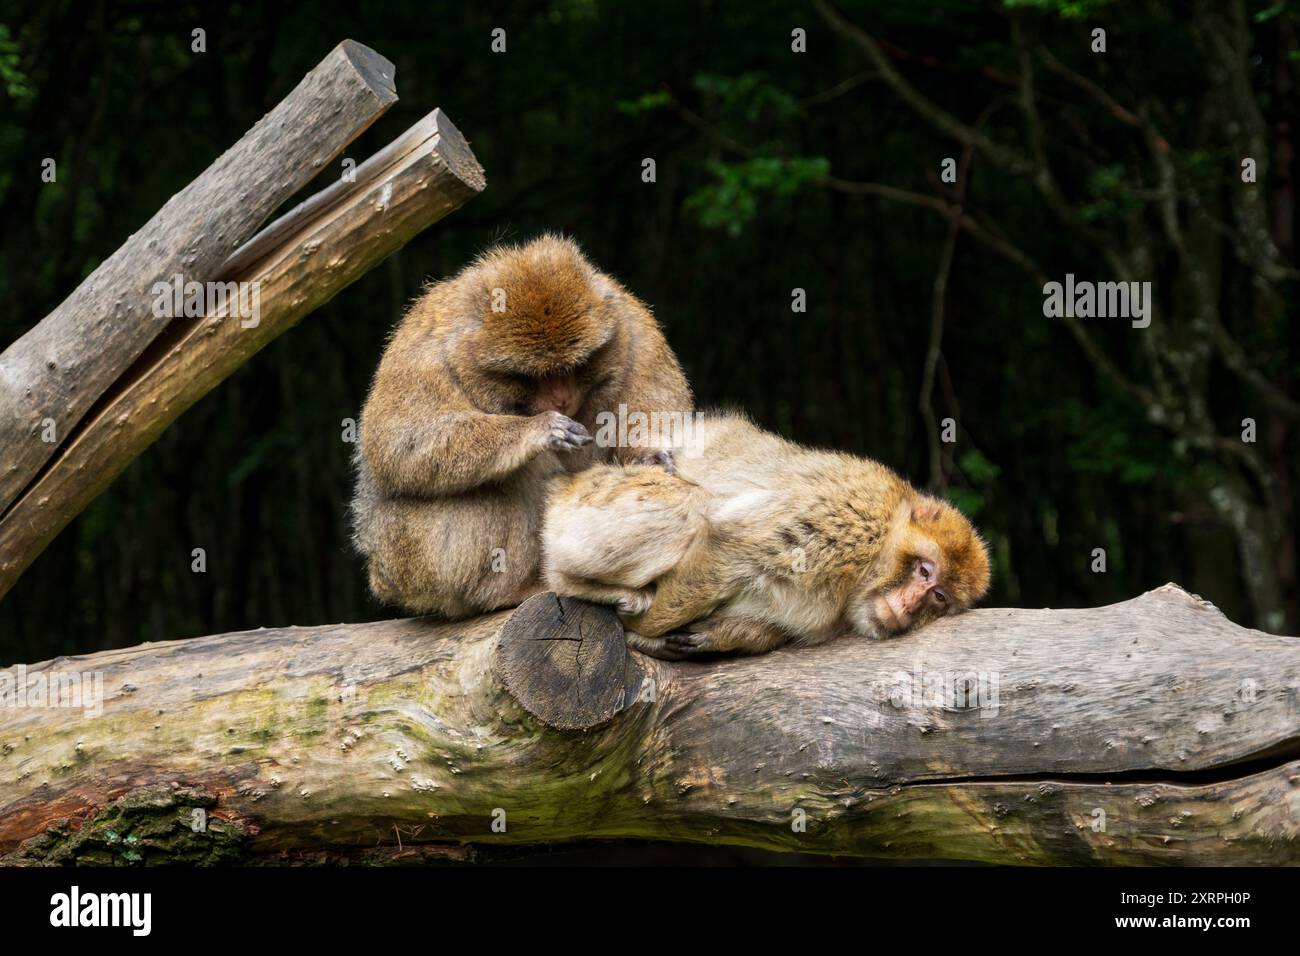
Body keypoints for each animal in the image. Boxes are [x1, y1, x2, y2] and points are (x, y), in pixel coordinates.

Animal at [345, 235, 691, 616]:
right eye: (531, 376)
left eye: (577, 366)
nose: (560, 399)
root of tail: (382, 576)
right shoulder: (425, 354)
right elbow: (400, 444)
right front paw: (539, 430)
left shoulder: (636, 331)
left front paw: (651, 458)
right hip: (409, 556)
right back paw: (511, 590)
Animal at [538, 411, 982, 658]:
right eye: (924, 572)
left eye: (939, 597)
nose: (910, 605)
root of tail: (566, 485)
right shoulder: (847, 521)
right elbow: (726, 547)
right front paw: (644, 634)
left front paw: (721, 638)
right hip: (590, 505)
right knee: (694, 507)